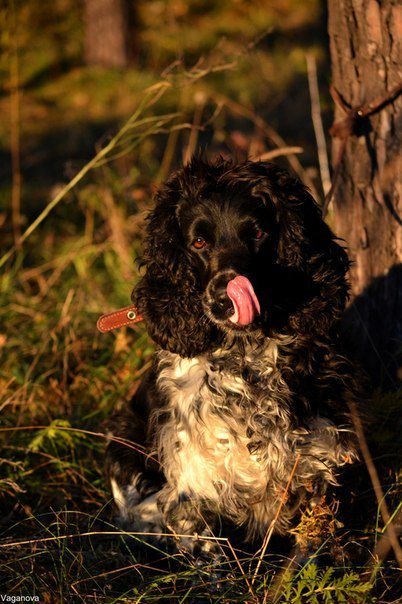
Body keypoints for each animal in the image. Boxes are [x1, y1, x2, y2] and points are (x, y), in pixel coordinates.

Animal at [105, 158, 360, 564]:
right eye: (198, 241)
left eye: (257, 232)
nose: (225, 301)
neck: (247, 359)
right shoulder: (193, 486)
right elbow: (209, 552)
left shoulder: (317, 461)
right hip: (123, 434)